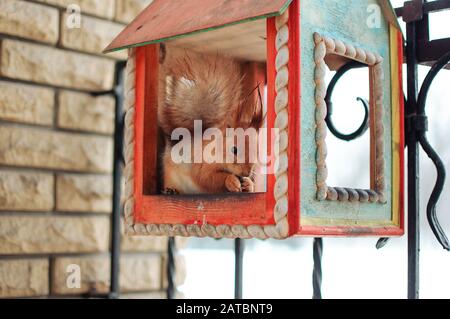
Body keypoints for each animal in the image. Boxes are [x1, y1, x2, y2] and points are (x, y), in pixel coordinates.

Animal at [157, 45, 264, 195]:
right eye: (234, 149)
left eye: (257, 150)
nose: (246, 173)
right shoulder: (200, 164)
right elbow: (207, 178)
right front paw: (231, 181)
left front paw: (248, 184)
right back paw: (172, 190)